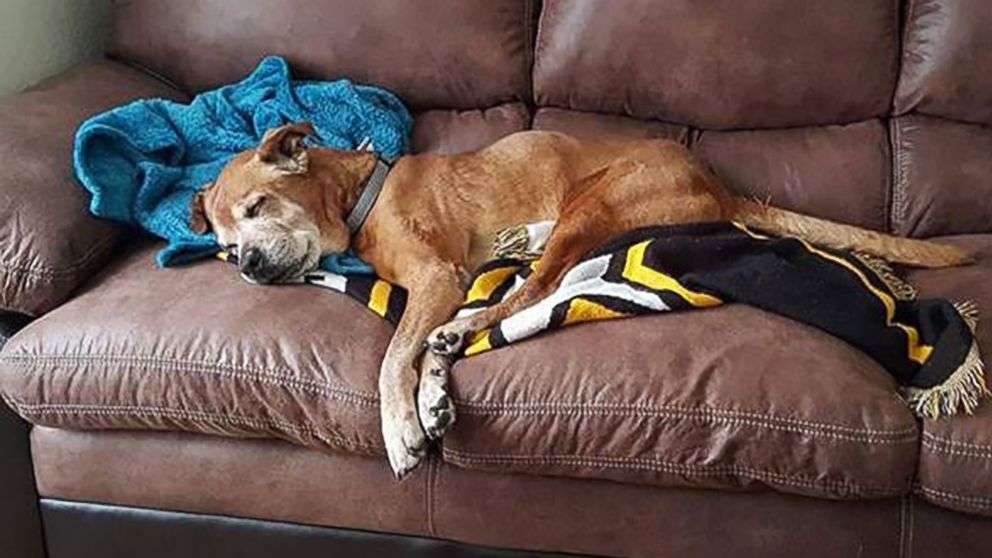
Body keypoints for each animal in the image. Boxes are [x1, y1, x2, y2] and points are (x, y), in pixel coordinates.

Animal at [190, 124, 972, 480]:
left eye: (258, 207)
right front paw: (432, 398)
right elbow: (417, 353)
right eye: (223, 246)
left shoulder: (438, 278)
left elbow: (392, 360)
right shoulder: (445, 286)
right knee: (529, 290)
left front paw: (402, 430)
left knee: (538, 288)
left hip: (595, 201)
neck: (362, 194)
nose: (249, 268)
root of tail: (721, 190)